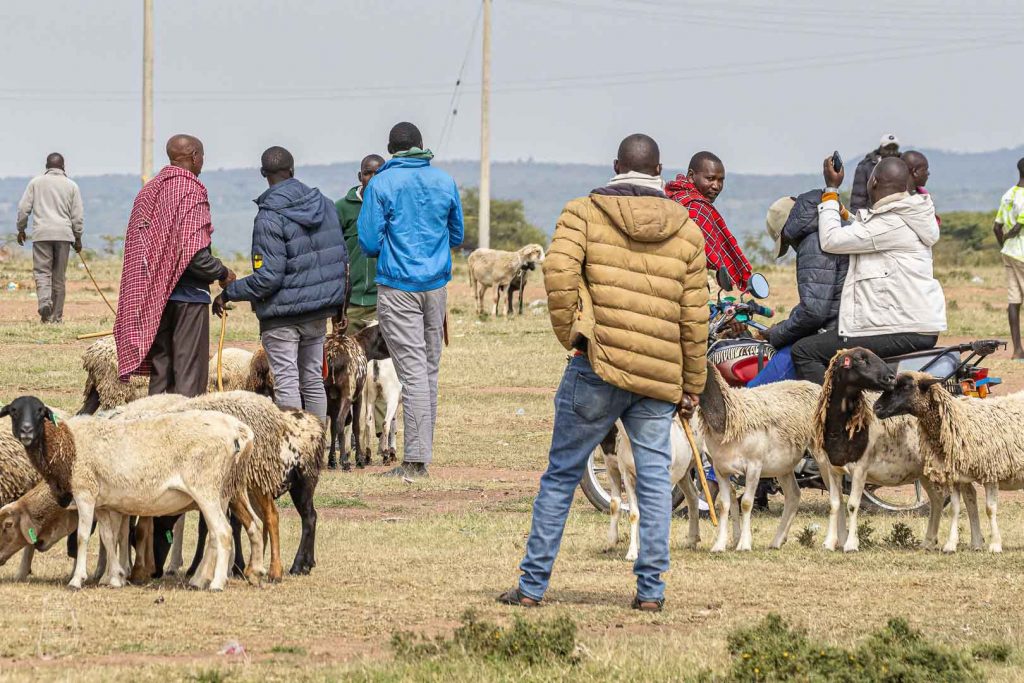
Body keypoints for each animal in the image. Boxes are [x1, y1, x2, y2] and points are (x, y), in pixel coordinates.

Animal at [1, 396, 253, 591]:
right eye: (13, 411)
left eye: (40, 412)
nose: (26, 431)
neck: (67, 446)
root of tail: (236, 430)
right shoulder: (103, 504)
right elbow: (109, 537)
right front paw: (115, 578)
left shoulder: (85, 493)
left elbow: (83, 537)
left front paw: (77, 580)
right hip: (221, 492)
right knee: (215, 534)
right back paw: (202, 580)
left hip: (205, 488)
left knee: (223, 532)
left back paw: (217, 583)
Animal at [603, 417, 702, 560]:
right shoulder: (626, 475)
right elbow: (633, 513)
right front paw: (633, 552)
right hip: (684, 469)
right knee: (693, 495)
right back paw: (691, 541)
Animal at [699, 360, 826, 552]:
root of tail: (816, 386)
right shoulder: (720, 468)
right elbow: (724, 505)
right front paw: (719, 546)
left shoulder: (754, 465)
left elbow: (746, 503)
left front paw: (744, 545)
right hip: (784, 466)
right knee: (793, 495)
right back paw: (777, 541)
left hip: (821, 455)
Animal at [811, 348, 982, 553]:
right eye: (861, 359)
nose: (891, 378)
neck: (844, 427)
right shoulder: (833, 468)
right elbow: (835, 504)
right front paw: (828, 543)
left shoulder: (860, 469)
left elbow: (852, 505)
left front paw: (851, 544)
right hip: (924, 472)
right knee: (938, 499)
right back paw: (929, 541)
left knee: (969, 496)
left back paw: (976, 542)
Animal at [874, 372, 1024, 553]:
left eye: (906, 386)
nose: (876, 407)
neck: (958, 420)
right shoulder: (956, 475)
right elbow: (955, 508)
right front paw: (950, 544)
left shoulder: (991, 471)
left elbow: (990, 509)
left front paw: (995, 544)